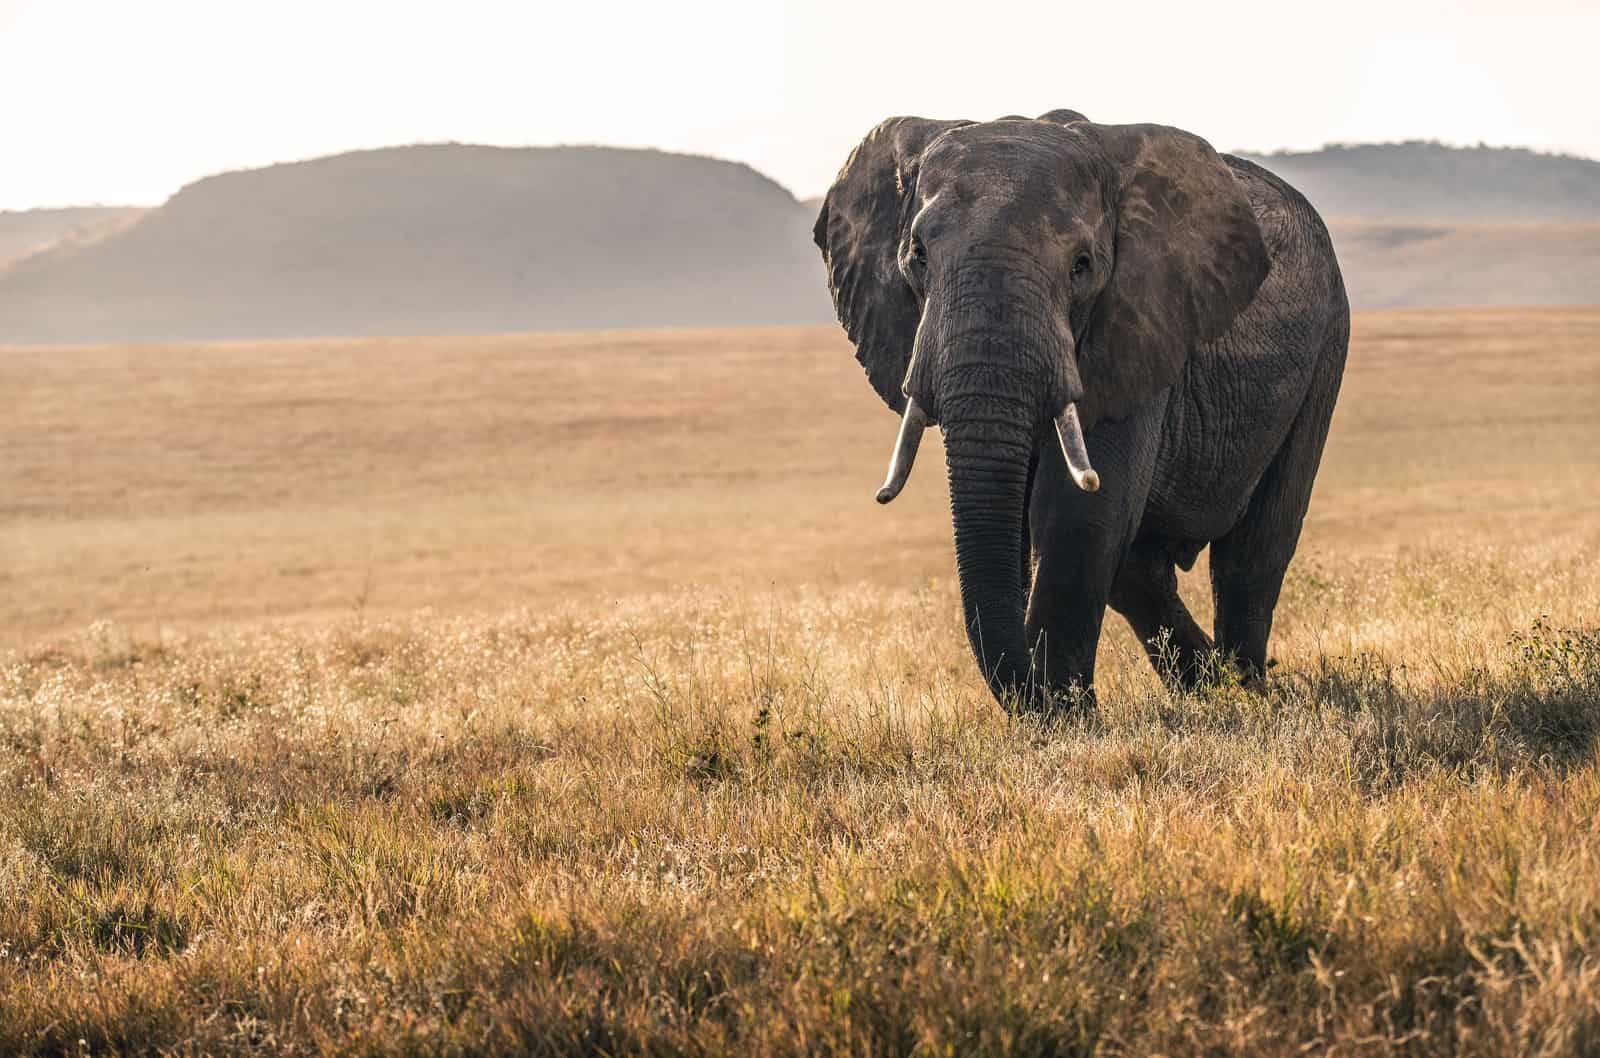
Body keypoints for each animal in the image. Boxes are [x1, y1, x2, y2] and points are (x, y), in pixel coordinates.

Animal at [812, 111, 1350, 710]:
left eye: (1082, 266)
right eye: (917, 257)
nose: (1038, 692)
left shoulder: (1139, 322)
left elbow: (1077, 512)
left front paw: (1066, 716)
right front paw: (1060, 709)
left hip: (1328, 344)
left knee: (1254, 551)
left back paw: (1245, 692)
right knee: (1140, 569)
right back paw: (1209, 688)